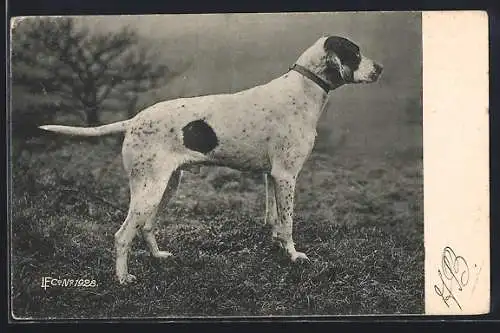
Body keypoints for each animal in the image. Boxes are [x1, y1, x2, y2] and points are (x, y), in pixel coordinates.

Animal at [41, 35, 382, 282]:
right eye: (354, 53)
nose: (380, 68)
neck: (303, 89)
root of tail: (133, 121)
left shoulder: (272, 176)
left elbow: (274, 218)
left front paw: (277, 247)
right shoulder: (286, 175)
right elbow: (287, 223)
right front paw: (294, 256)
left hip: (167, 185)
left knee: (146, 226)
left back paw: (157, 257)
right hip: (149, 189)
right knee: (122, 235)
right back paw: (123, 279)